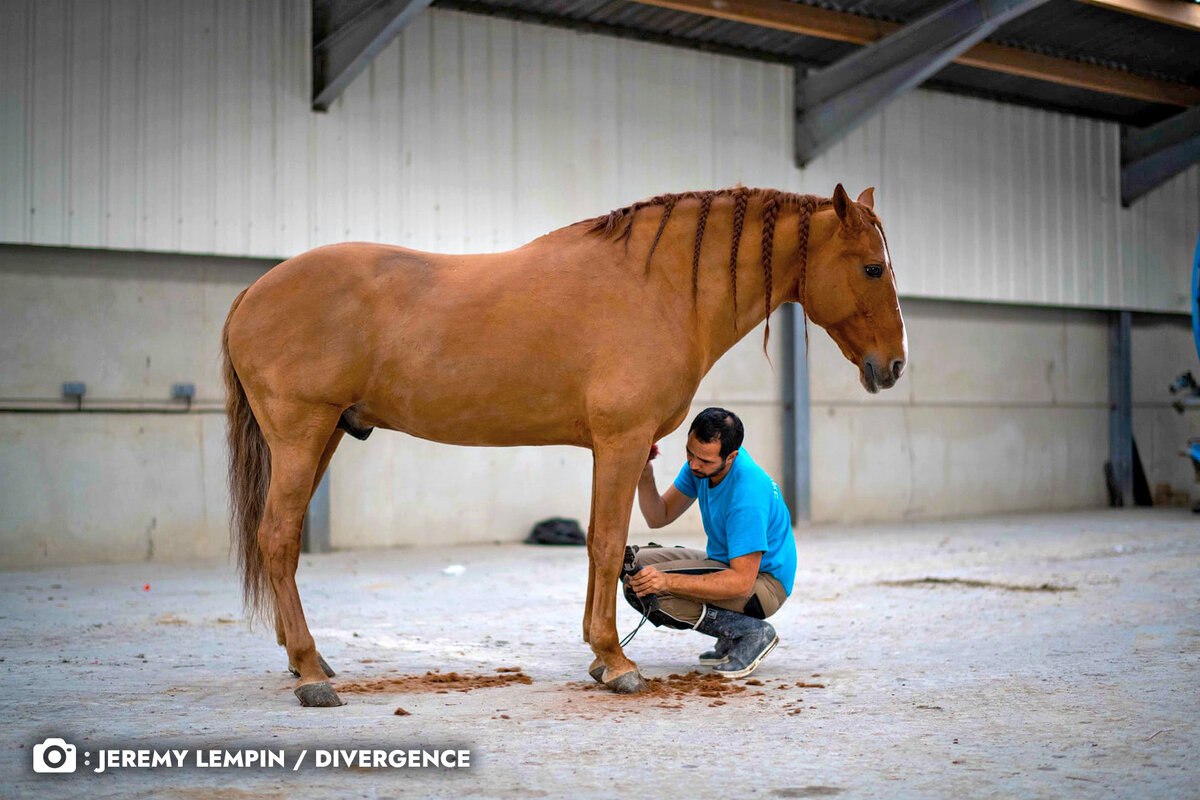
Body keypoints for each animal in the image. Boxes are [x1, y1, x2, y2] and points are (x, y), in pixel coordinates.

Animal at [220, 183, 902, 705]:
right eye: (872, 267)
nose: (893, 367)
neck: (657, 287)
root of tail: (253, 292)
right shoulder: (622, 442)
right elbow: (604, 543)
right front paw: (617, 663)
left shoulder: (614, 450)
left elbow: (607, 543)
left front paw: (600, 659)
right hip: (303, 434)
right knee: (277, 539)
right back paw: (312, 674)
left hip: (327, 436)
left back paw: (305, 662)